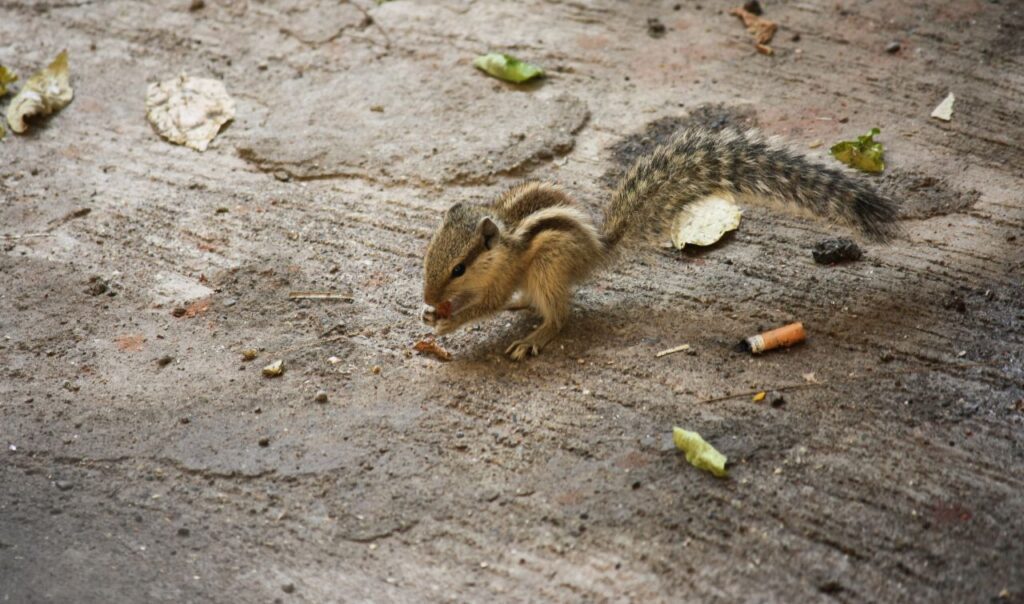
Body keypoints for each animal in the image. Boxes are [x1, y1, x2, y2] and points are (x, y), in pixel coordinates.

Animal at [417, 124, 897, 360]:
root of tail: (595, 248)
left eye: (458, 268)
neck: (501, 247)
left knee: (560, 315)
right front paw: (432, 313)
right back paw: (524, 309)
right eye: (428, 258)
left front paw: (446, 322)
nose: (428, 296)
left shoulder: (501, 278)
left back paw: (535, 336)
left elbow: (487, 305)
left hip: (548, 266)